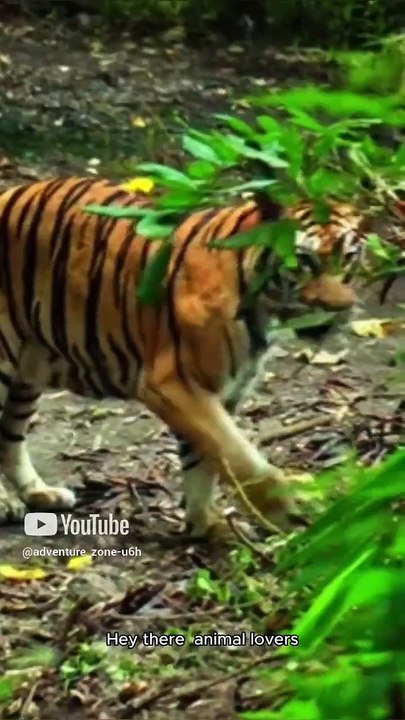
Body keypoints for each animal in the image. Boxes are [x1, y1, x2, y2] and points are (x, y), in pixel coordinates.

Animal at [0, 177, 369, 538]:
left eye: (349, 256)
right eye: (304, 259)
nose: (342, 308)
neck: (263, 307)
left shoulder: (222, 390)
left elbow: (203, 458)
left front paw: (204, 523)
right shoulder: (173, 383)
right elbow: (235, 454)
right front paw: (290, 515)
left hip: (29, 370)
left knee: (11, 436)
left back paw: (39, 493)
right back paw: (7, 503)